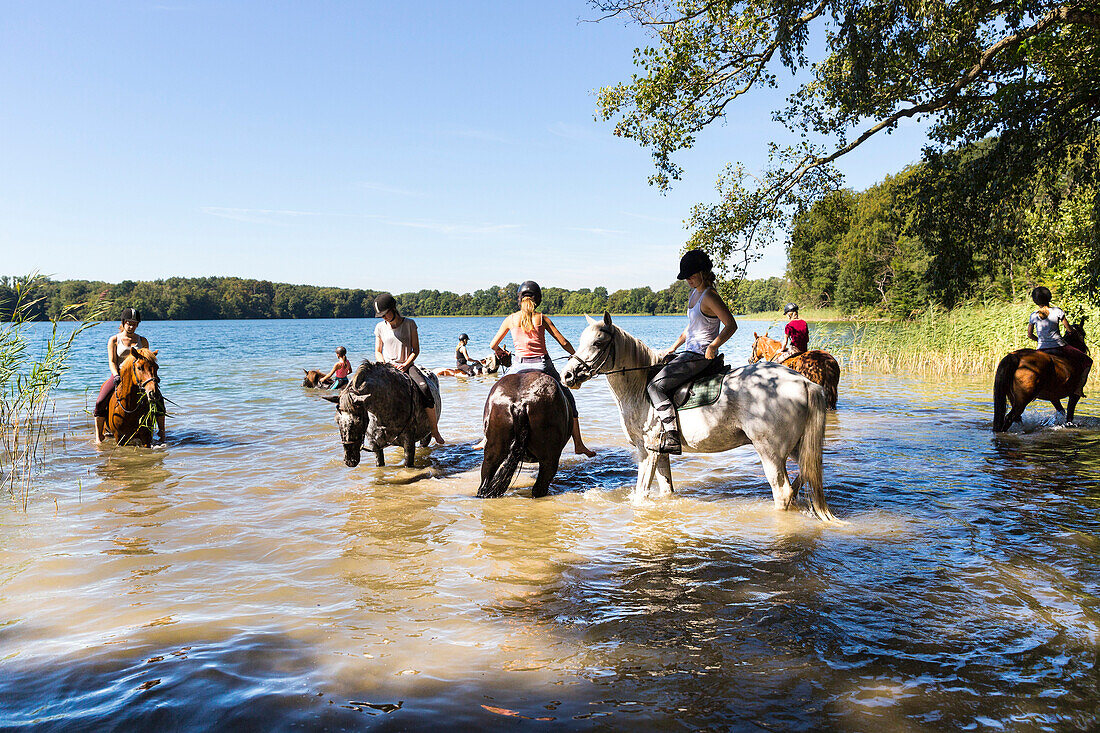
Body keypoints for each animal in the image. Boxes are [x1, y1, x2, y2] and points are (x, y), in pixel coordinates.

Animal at [563, 312, 836, 519]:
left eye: (598, 343)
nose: (567, 375)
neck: (639, 387)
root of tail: (803, 382)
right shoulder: (661, 453)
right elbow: (666, 491)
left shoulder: (647, 451)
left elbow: (641, 496)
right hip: (797, 447)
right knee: (805, 475)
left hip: (770, 452)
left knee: (782, 492)